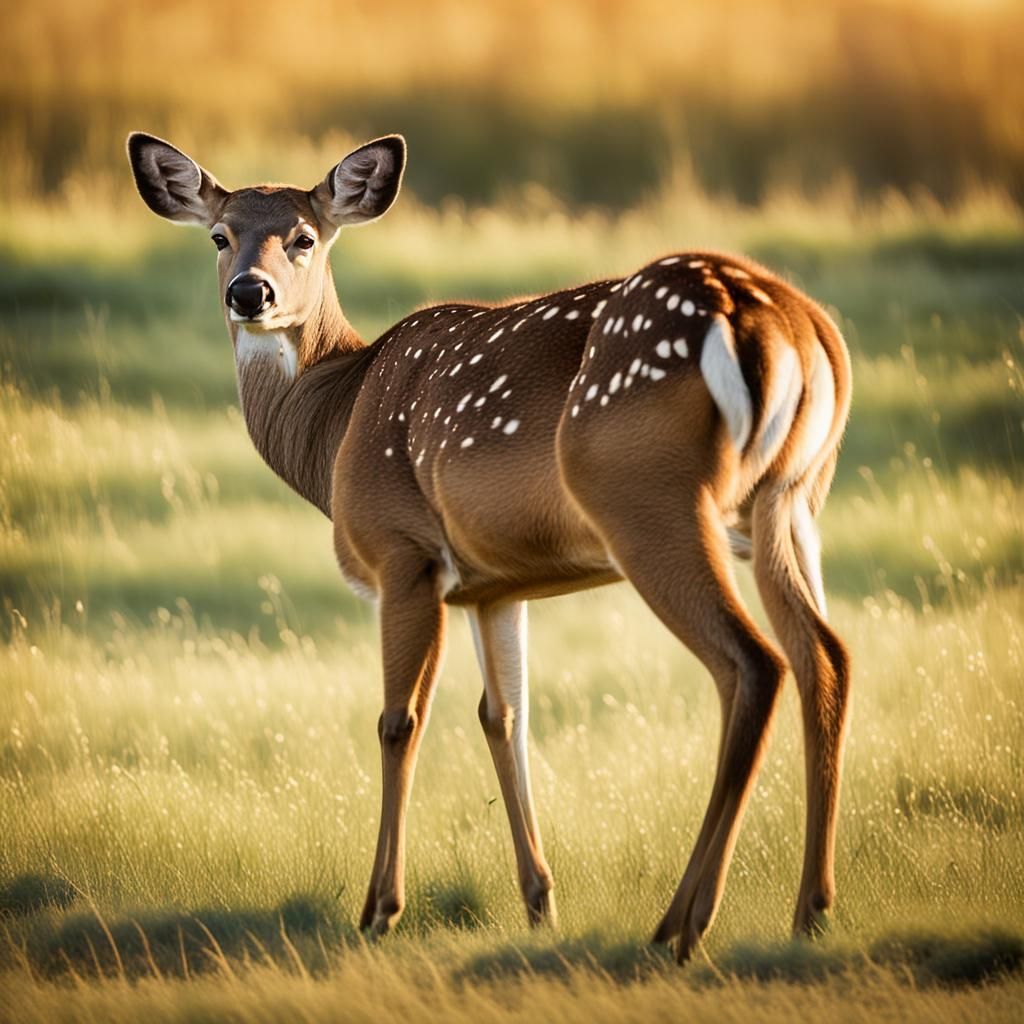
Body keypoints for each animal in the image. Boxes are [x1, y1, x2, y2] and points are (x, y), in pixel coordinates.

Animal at [127, 131, 852, 961]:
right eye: (220, 235)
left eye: (305, 237)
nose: (250, 293)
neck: (337, 422)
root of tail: (787, 326)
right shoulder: (496, 587)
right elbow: (505, 718)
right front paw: (540, 902)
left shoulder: (405, 553)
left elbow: (399, 720)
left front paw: (379, 909)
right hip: (790, 500)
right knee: (825, 656)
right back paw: (810, 911)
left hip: (647, 495)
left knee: (752, 664)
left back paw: (681, 925)